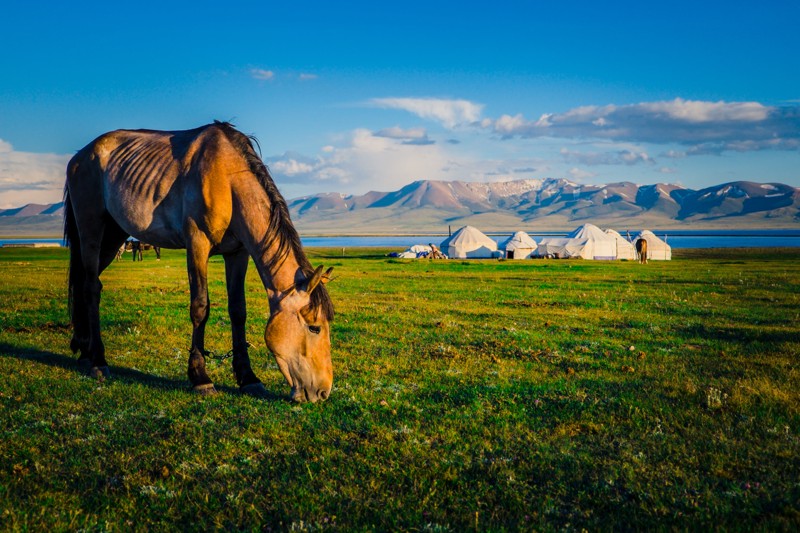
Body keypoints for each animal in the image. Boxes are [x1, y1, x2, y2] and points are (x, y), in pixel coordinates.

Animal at [63, 120, 334, 402]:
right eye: (314, 327)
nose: (323, 391)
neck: (228, 179)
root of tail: (79, 157)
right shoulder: (197, 244)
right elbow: (200, 307)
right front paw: (200, 377)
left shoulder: (238, 253)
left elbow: (238, 311)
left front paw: (248, 378)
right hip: (92, 229)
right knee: (91, 288)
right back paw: (98, 361)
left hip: (114, 235)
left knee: (85, 283)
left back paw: (84, 350)